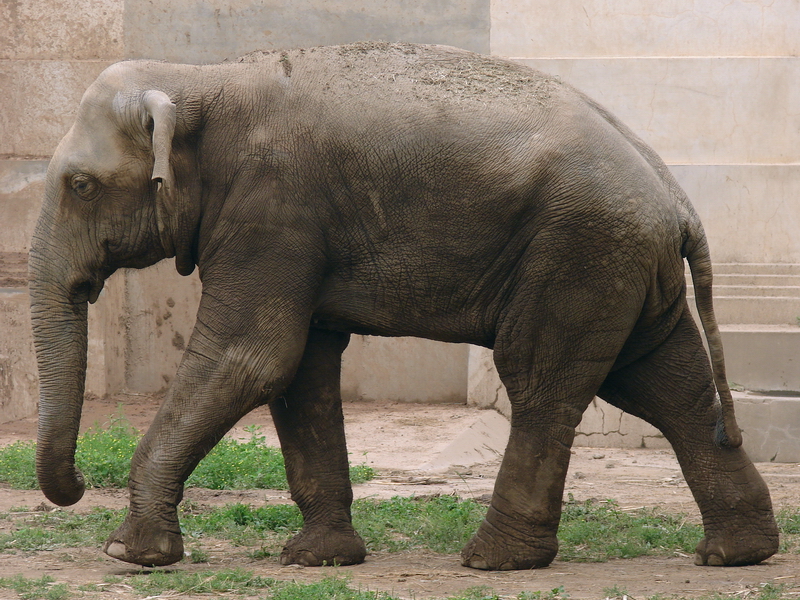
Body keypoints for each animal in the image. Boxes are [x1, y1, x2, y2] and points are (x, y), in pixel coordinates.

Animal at [29, 42, 778, 571]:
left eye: (81, 185)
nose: (76, 485)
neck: (197, 78)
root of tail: (676, 197)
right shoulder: (288, 231)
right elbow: (300, 371)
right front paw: (318, 559)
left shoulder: (273, 210)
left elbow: (251, 358)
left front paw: (128, 554)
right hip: (623, 265)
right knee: (668, 385)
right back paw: (736, 553)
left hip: (578, 252)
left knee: (542, 382)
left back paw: (493, 561)